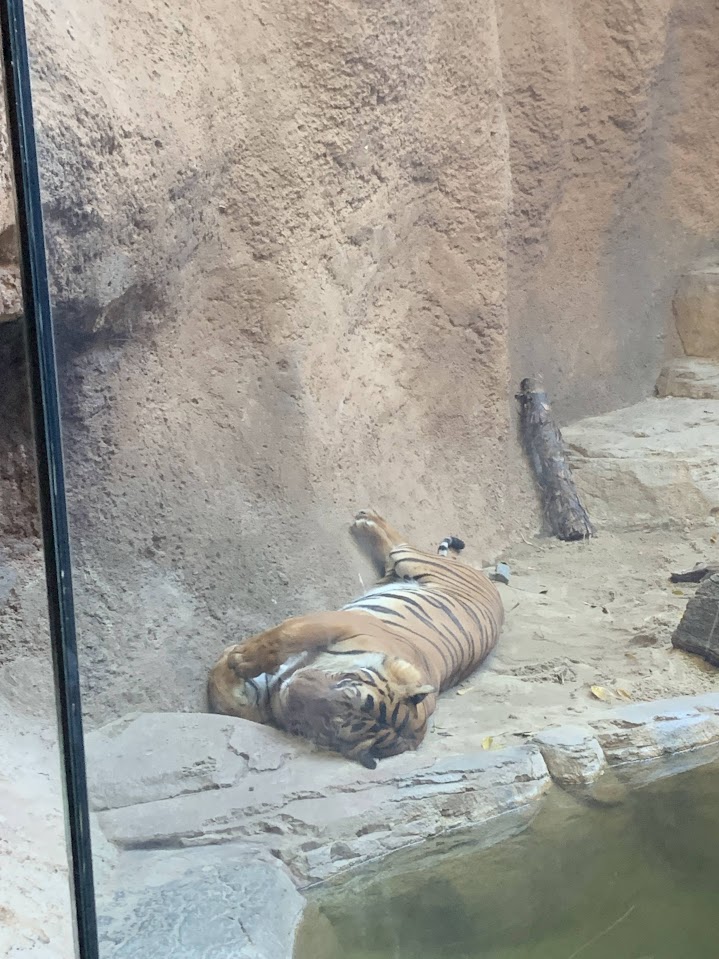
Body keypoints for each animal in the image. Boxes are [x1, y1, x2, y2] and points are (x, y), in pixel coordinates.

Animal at [207, 510, 500, 772]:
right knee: (399, 544)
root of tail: (487, 580)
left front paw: (232, 663)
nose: (293, 688)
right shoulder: (341, 622)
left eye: (334, 726)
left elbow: (237, 704)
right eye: (347, 689)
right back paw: (367, 519)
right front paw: (236, 660)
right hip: (414, 562)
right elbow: (286, 635)